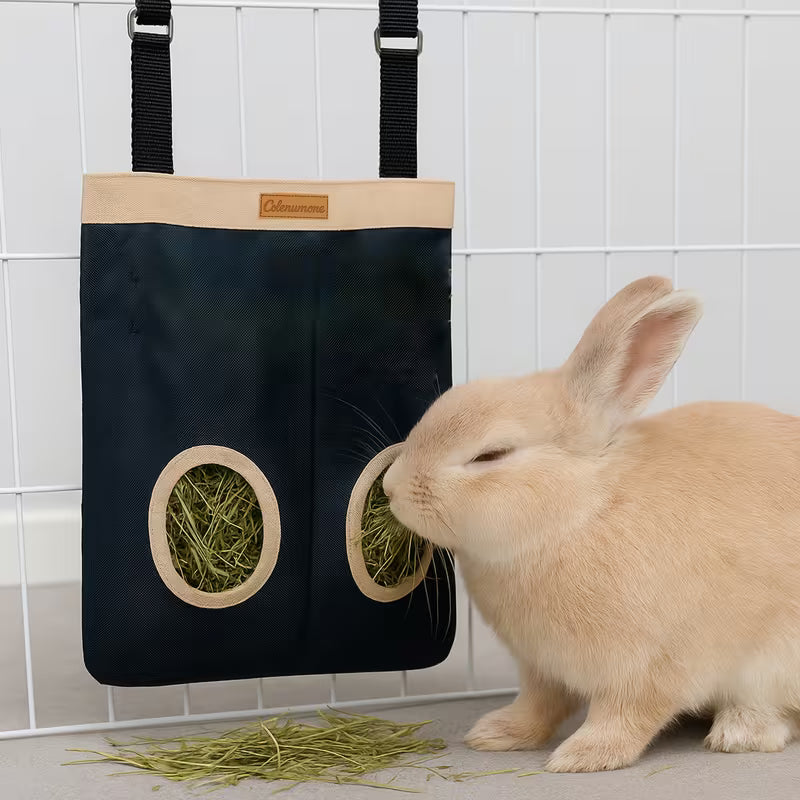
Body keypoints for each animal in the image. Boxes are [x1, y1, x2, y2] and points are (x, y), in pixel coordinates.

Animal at [382, 275, 800, 773]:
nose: (390, 488)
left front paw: (582, 757)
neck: (581, 512)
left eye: (491, 455)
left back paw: (738, 732)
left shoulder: (647, 667)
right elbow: (538, 705)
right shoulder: (540, 667)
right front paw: (496, 734)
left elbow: (626, 716)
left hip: (775, 660)